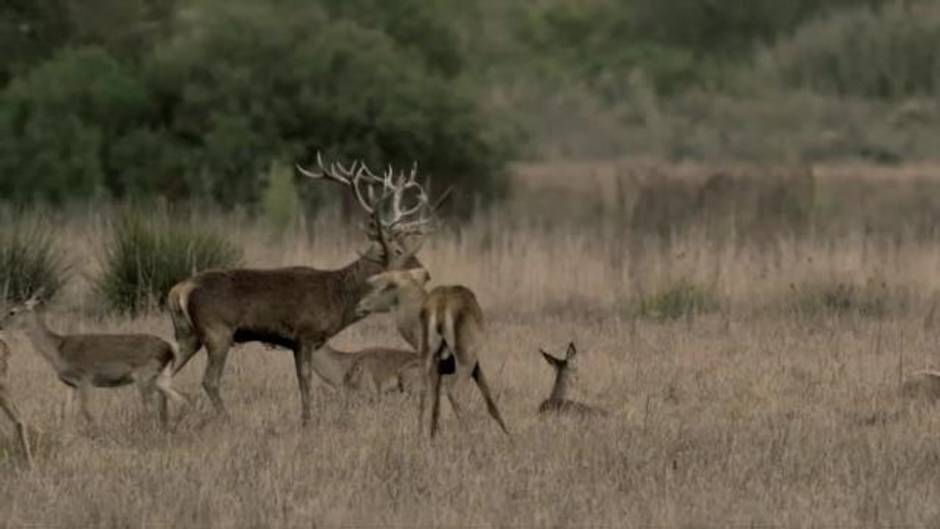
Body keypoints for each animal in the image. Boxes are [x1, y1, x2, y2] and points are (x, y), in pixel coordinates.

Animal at [0, 290, 187, 426]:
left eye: (12, 312)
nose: (0, 325)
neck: (57, 351)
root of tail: (169, 348)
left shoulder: (85, 377)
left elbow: (86, 411)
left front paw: (96, 431)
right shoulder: (71, 384)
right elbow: (66, 412)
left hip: (144, 376)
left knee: (151, 408)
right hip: (160, 376)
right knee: (182, 399)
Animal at [356, 268, 510, 438]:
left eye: (385, 286)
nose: (360, 304)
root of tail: (441, 305)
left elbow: (436, 404)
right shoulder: (473, 363)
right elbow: (490, 401)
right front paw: (509, 437)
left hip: (432, 359)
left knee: (424, 393)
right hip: (464, 360)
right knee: (454, 392)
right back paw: (470, 437)